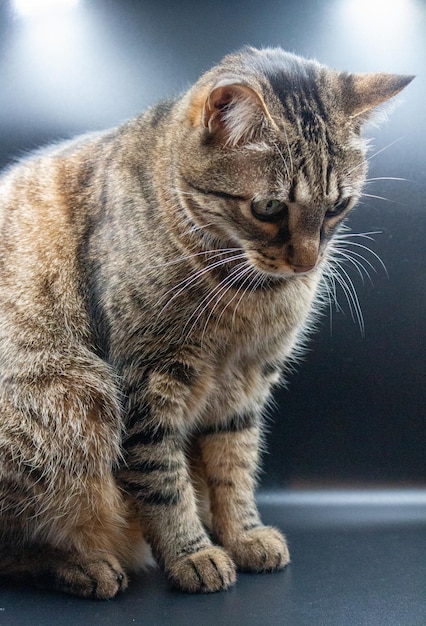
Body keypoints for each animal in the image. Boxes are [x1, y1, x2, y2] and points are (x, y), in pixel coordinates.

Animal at [0, 46, 412, 596]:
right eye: (268, 207)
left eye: (337, 206)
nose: (307, 262)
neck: (249, 292)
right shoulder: (148, 383)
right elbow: (164, 482)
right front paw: (191, 553)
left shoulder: (246, 384)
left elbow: (234, 467)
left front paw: (244, 535)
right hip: (69, 396)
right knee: (15, 546)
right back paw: (81, 565)